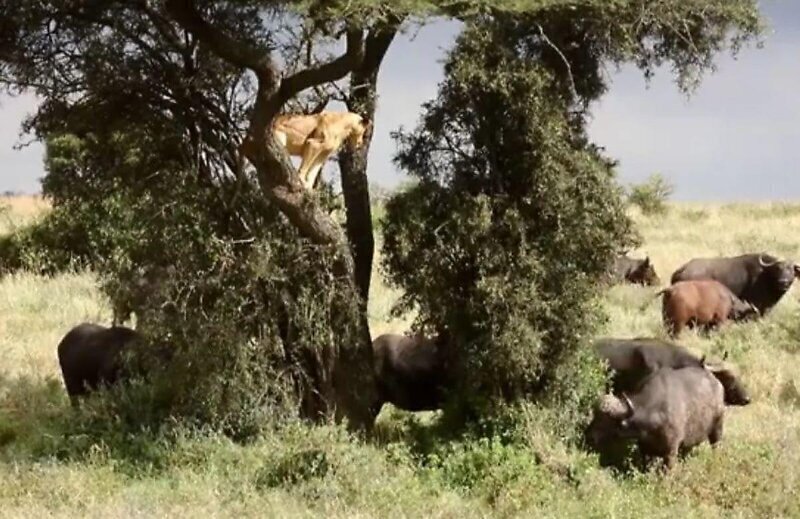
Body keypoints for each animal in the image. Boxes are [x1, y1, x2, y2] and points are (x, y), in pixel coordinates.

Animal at [584, 366, 728, 472]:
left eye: (606, 420)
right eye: (595, 415)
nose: (589, 435)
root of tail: (717, 383)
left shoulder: (671, 450)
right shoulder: (644, 448)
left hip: (717, 429)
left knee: (716, 445)